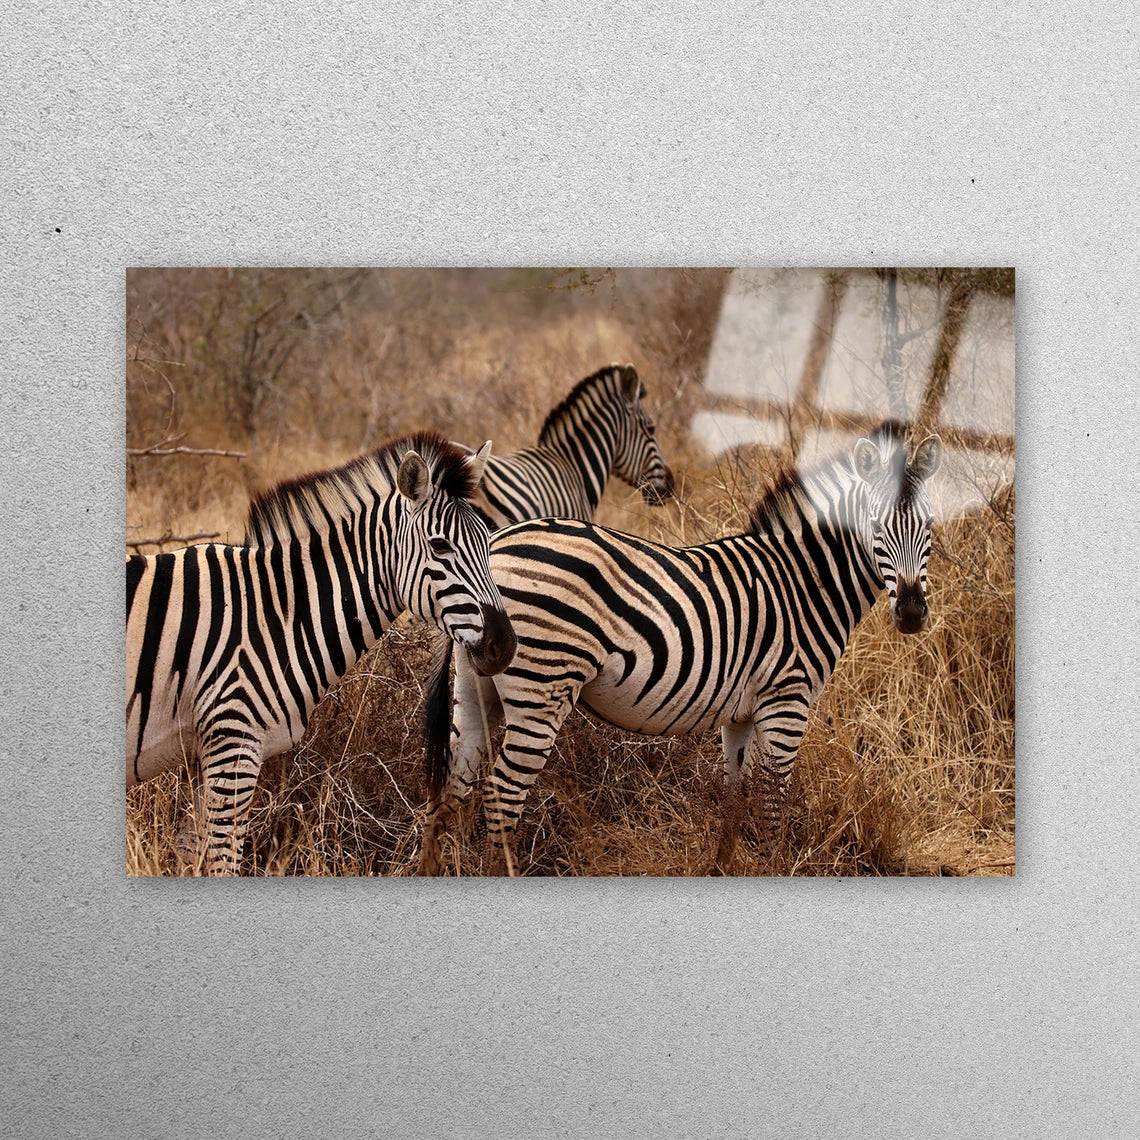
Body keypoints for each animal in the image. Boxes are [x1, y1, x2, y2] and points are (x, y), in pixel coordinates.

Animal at [127, 431, 517, 874]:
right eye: (439, 546)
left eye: (488, 541)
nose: (505, 645)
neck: (275, 614)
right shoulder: (233, 744)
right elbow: (222, 861)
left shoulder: (199, 751)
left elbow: (192, 856)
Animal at [417, 421, 942, 875]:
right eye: (875, 524)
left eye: (931, 524)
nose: (912, 613)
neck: (803, 583)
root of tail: (496, 542)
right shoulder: (787, 702)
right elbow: (773, 805)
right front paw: (773, 868)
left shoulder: (742, 714)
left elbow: (734, 798)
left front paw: (723, 871)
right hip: (541, 689)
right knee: (501, 797)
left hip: (477, 683)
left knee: (450, 790)